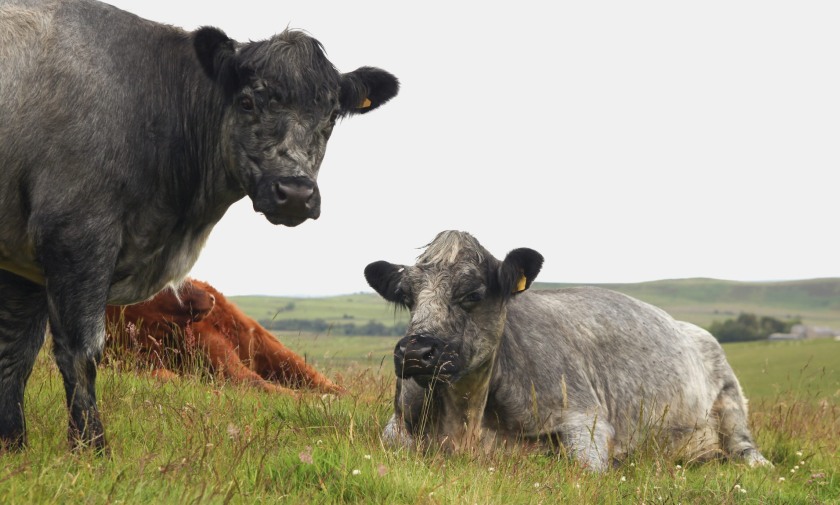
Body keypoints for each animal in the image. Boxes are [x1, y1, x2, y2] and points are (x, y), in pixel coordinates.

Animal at [364, 231, 771, 471]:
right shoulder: (398, 422)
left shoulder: (586, 418)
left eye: (472, 294)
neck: (465, 418)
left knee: (746, 450)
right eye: (406, 297)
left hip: (731, 403)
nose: (415, 351)